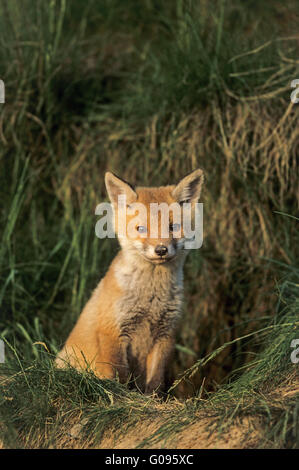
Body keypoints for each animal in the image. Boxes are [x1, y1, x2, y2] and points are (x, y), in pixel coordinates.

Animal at [56, 169, 204, 392]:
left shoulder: (165, 334)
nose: (161, 250)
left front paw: (152, 398)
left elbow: (155, 380)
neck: (151, 298)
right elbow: (119, 374)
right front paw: (119, 394)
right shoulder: (114, 331)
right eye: (141, 229)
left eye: (173, 227)